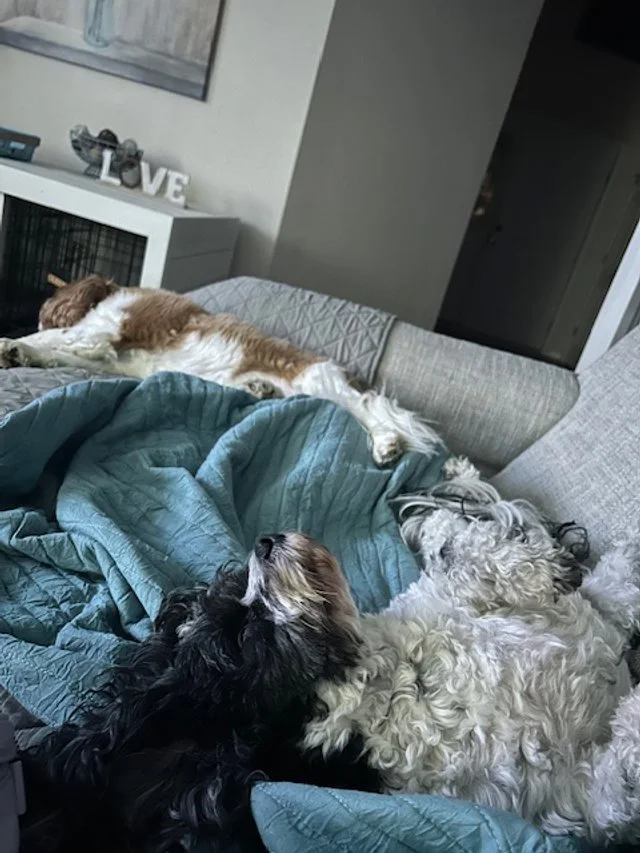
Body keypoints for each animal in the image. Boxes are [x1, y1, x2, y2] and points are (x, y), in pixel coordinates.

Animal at [0, 275, 440, 466]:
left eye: (44, 310)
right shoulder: (107, 355)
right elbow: (57, 350)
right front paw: (20, 351)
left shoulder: (110, 328)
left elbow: (60, 338)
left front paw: (16, 344)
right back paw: (262, 390)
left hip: (320, 381)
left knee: (366, 411)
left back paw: (386, 443)